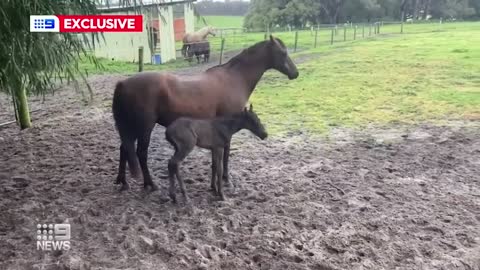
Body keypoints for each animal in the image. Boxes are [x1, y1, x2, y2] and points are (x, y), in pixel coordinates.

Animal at [113, 35, 300, 192]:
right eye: (283, 53)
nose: (295, 73)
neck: (234, 78)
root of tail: (123, 84)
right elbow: (226, 154)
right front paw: (226, 179)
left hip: (131, 127)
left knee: (124, 149)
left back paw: (123, 181)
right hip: (144, 127)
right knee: (141, 153)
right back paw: (150, 184)